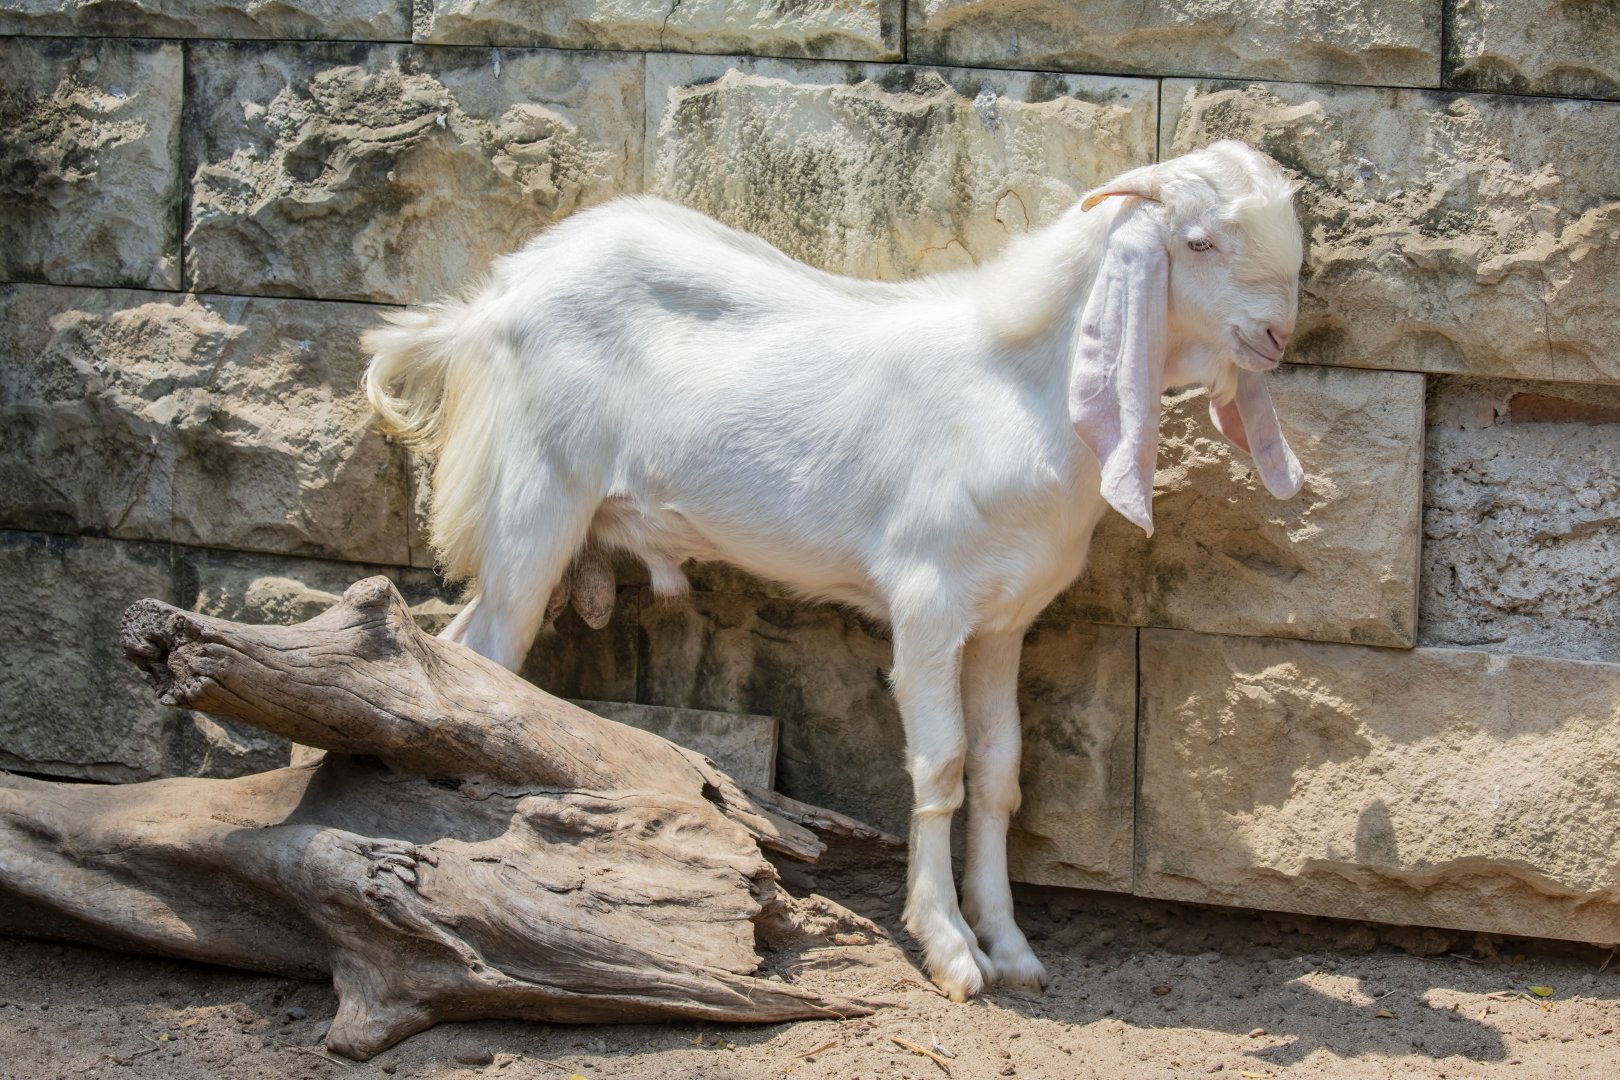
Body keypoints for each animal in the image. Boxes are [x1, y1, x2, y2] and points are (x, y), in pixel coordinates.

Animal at [363, 139, 1306, 1001]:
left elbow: (999, 771)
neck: (1019, 388)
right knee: (492, 651)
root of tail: (492, 298)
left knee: (460, 644)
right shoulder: (928, 602)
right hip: (536, 498)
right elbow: (942, 766)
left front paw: (1011, 946)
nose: (1277, 335)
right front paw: (950, 948)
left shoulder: (1003, 618)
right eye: (1198, 242)